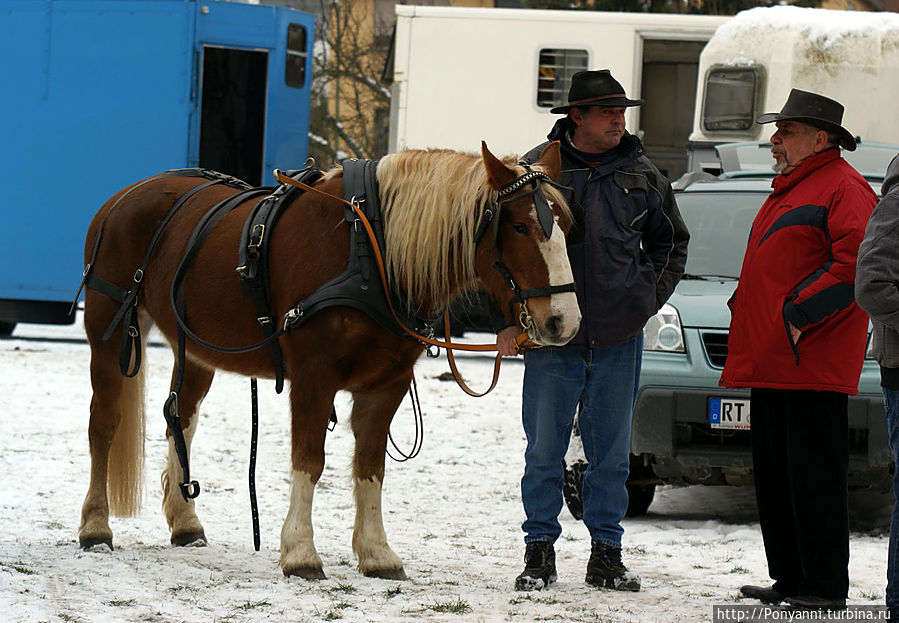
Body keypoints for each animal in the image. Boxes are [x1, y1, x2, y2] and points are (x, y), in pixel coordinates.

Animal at [77, 141, 584, 580]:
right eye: (520, 227)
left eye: (566, 227)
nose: (563, 321)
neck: (371, 249)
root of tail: (126, 195)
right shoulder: (313, 378)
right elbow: (310, 460)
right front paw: (301, 552)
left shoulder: (387, 382)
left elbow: (370, 466)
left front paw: (377, 553)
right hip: (109, 332)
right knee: (104, 424)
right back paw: (95, 527)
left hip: (196, 348)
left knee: (180, 420)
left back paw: (185, 523)